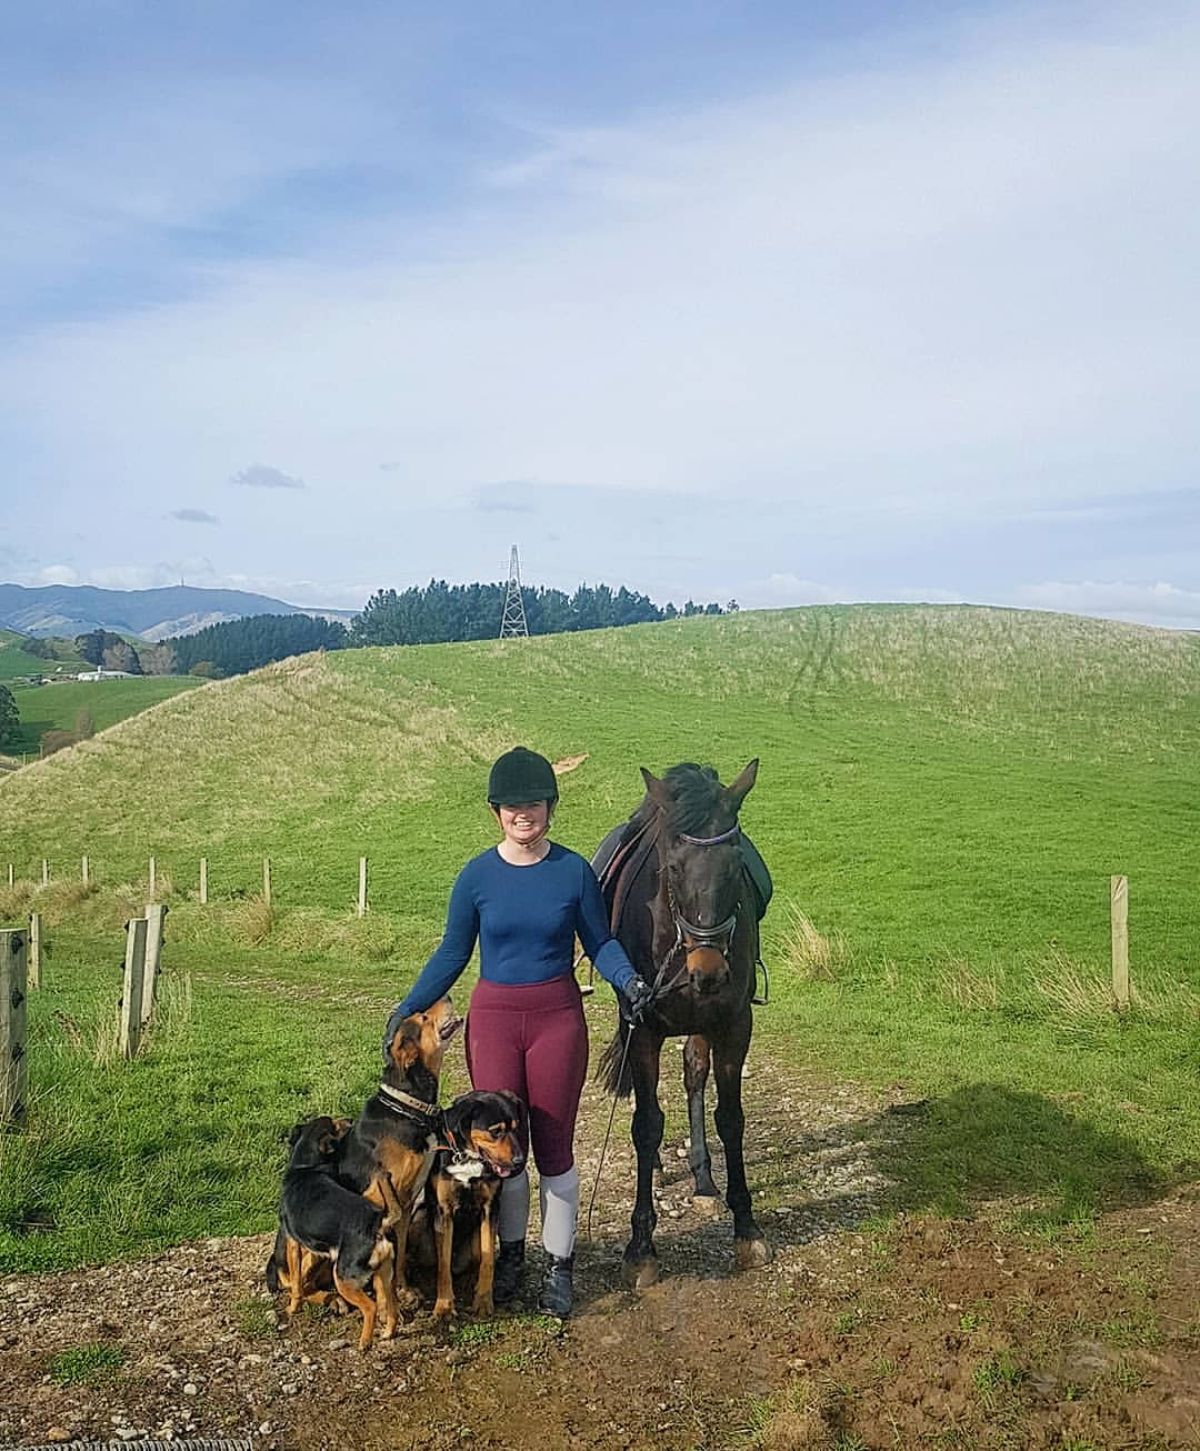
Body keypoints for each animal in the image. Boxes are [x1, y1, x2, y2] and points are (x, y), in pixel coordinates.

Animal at [271, 1114, 394, 1352]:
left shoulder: (293, 1243)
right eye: (336, 1124)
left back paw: (364, 1342)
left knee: (371, 1307)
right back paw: (387, 1333)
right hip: (383, 1274)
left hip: (343, 1277)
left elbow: (296, 1287)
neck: (307, 1166)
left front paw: (292, 1309)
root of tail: (376, 1224)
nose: (349, 1119)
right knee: (391, 1306)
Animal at [339, 998, 467, 1317]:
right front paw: (390, 1304)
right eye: (423, 1018)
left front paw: (404, 1290)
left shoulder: (407, 1202)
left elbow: (398, 1256)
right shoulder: (381, 1197)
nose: (447, 997)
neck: (408, 1106)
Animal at [426, 1091, 531, 1317]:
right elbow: (443, 1264)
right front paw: (444, 1306)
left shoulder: (490, 1208)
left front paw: (483, 1301)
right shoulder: (443, 1211)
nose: (519, 1161)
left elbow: (488, 1258)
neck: (467, 1158)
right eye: (495, 1131)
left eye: (516, 1127)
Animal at [597, 760, 771, 1282]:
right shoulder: (643, 1030)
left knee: (694, 1073)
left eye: (735, 864)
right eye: (672, 868)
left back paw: (703, 1175)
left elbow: (730, 1118)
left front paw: (746, 1226)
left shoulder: (732, 1025)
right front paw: (641, 1245)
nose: (708, 972)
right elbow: (647, 1124)